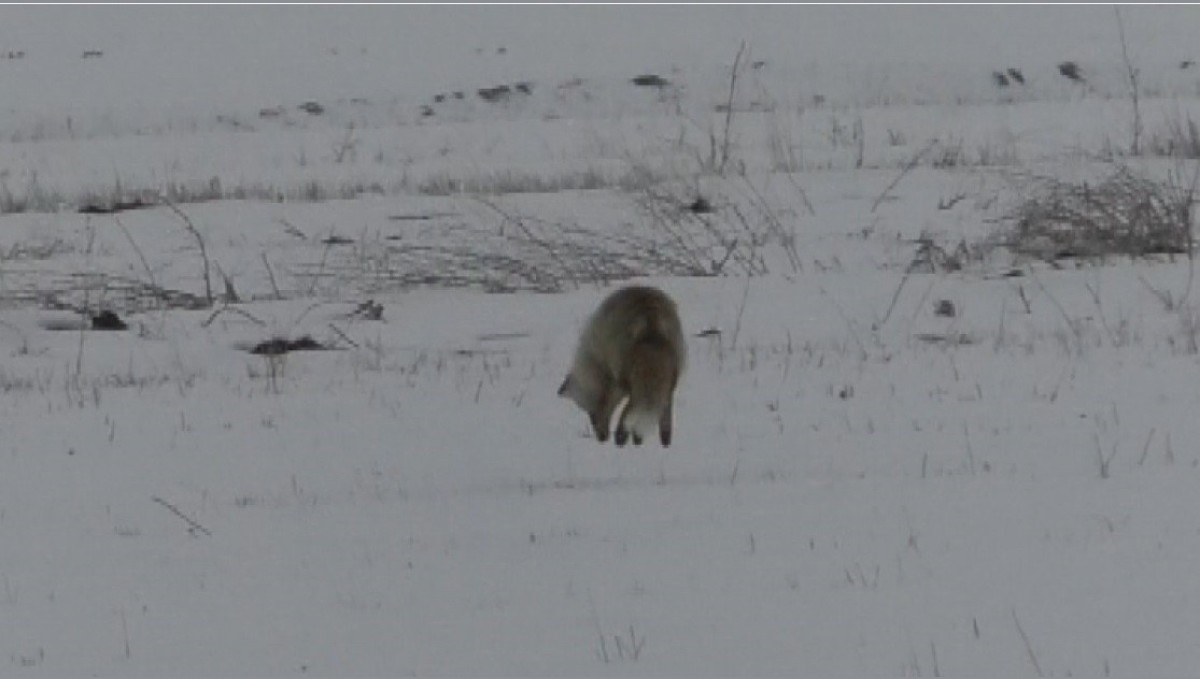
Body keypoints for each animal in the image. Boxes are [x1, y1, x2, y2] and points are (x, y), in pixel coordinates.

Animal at [559, 286, 686, 448]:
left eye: (591, 414)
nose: (602, 438)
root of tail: (650, 316)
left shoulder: (614, 380)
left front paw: (624, 437)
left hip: (627, 380)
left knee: (631, 408)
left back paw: (622, 438)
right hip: (669, 381)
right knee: (662, 413)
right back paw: (663, 443)